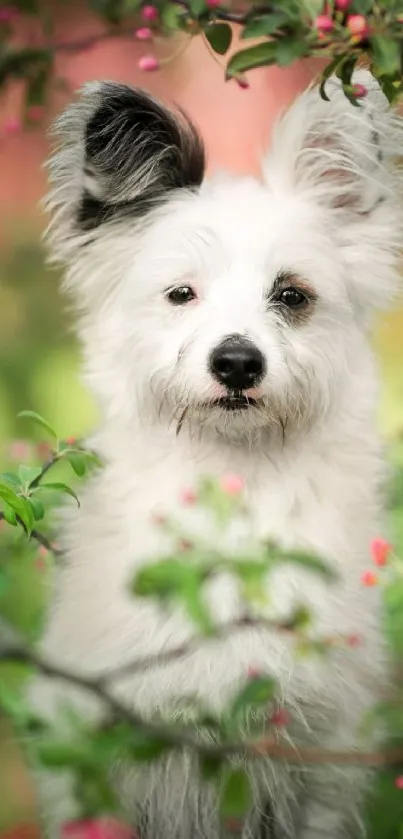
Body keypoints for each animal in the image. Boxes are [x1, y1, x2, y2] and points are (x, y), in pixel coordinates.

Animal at [30, 72, 403, 839]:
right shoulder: (101, 754)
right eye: (181, 293)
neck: (235, 494)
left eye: (291, 294)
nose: (236, 363)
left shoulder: (318, 768)